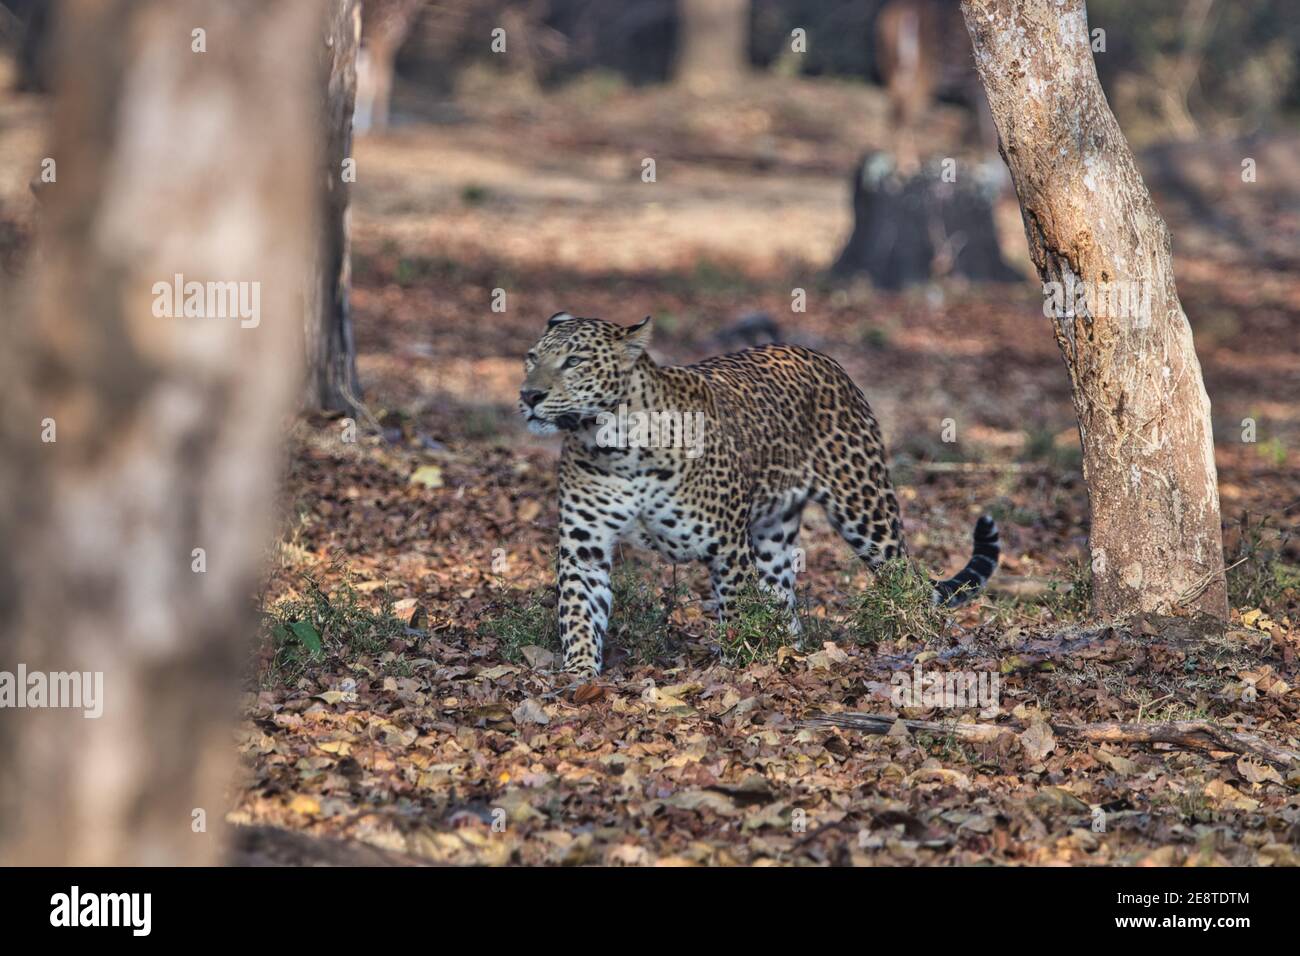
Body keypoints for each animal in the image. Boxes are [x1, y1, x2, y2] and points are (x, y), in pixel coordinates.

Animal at [518, 311, 1000, 677]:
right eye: (531, 358)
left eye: (574, 360)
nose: (528, 395)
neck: (615, 444)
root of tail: (819, 356)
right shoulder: (584, 546)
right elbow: (578, 611)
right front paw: (579, 674)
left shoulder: (725, 546)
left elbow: (733, 609)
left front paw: (736, 667)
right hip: (774, 534)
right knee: (781, 599)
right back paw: (790, 649)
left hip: (865, 508)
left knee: (904, 579)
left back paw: (922, 642)